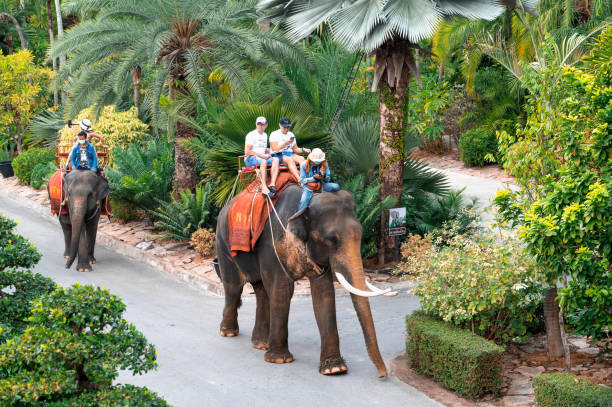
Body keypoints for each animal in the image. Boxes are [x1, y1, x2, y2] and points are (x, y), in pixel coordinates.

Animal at [216, 186, 392, 380]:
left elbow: (324, 294)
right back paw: (229, 333)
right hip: (223, 244)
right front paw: (280, 360)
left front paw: (334, 369)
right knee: (234, 287)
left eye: (360, 234)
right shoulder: (272, 247)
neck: (304, 205)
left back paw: (260, 344)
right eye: (332, 239)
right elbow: (282, 290)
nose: (382, 375)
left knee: (261, 290)